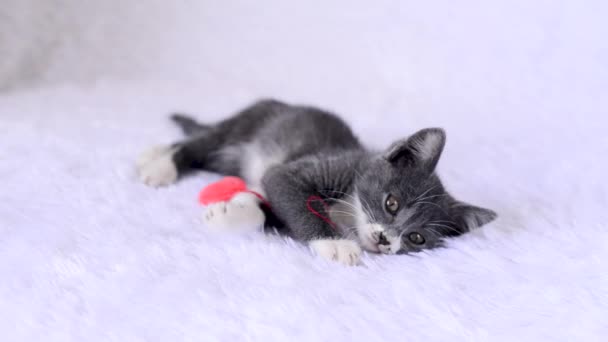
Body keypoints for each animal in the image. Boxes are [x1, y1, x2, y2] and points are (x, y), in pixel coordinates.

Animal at [137, 99, 494, 264]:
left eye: (416, 238)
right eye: (391, 203)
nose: (385, 239)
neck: (349, 212)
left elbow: (267, 206)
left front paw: (232, 211)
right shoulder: (321, 167)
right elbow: (287, 191)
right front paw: (335, 243)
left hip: (232, 157)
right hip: (247, 124)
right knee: (200, 143)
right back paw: (159, 163)